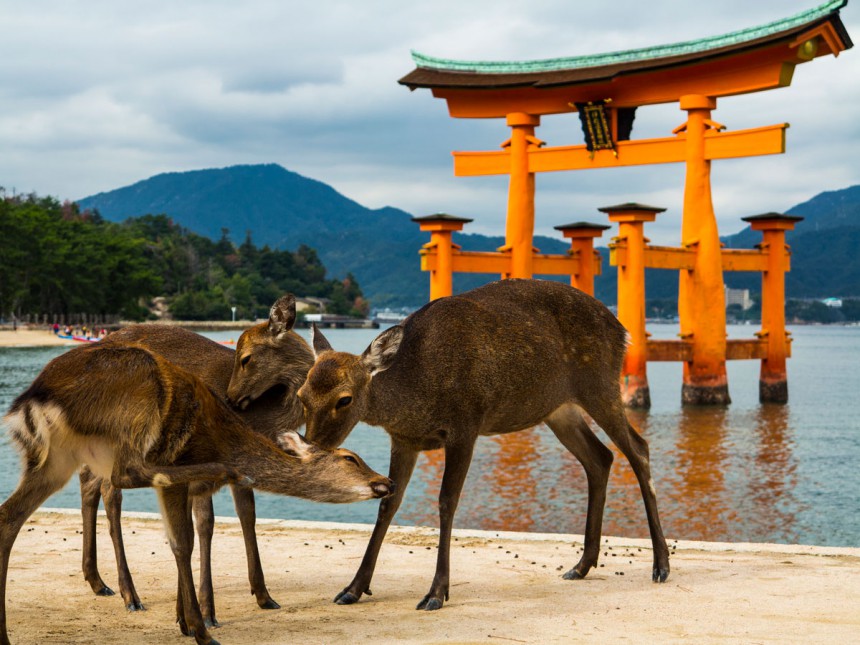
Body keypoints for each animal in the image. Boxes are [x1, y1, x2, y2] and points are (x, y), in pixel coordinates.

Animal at [0, 340, 394, 640]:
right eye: (350, 458)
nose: (386, 482)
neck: (227, 438)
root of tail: (32, 398)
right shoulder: (180, 482)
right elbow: (183, 543)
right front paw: (199, 628)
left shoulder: (185, 492)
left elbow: (183, 540)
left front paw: (185, 621)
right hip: (136, 409)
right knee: (125, 473)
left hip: (53, 460)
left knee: (10, 515)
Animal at [79, 294, 314, 624]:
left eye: (246, 358)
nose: (230, 399)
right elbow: (205, 523)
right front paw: (205, 611)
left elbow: (247, 515)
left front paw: (263, 596)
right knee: (110, 492)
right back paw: (130, 594)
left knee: (88, 480)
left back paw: (97, 581)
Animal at [228, 278, 672, 608]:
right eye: (302, 395)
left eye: (345, 399)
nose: (313, 448)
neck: (415, 389)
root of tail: (624, 331)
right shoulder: (404, 439)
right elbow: (388, 504)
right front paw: (352, 588)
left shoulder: (465, 425)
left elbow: (446, 502)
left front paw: (436, 593)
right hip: (557, 407)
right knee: (600, 457)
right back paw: (581, 565)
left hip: (601, 383)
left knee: (638, 449)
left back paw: (661, 564)